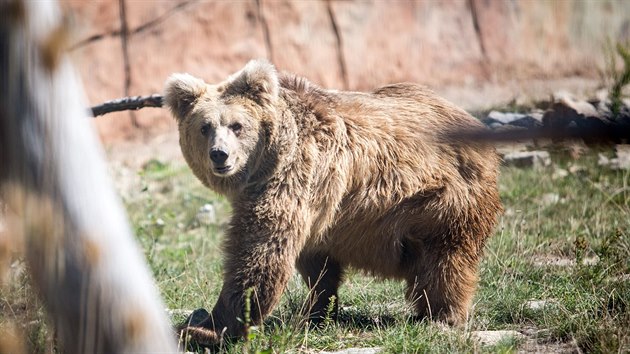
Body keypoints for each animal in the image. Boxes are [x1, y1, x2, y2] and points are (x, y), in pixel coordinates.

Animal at [164, 58, 504, 346]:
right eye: (204, 127)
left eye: (237, 125)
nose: (219, 154)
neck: (264, 162)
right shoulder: (317, 206)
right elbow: (316, 264)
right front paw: (317, 312)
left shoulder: (293, 173)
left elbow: (260, 250)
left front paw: (204, 328)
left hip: (444, 197)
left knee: (447, 258)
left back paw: (442, 316)